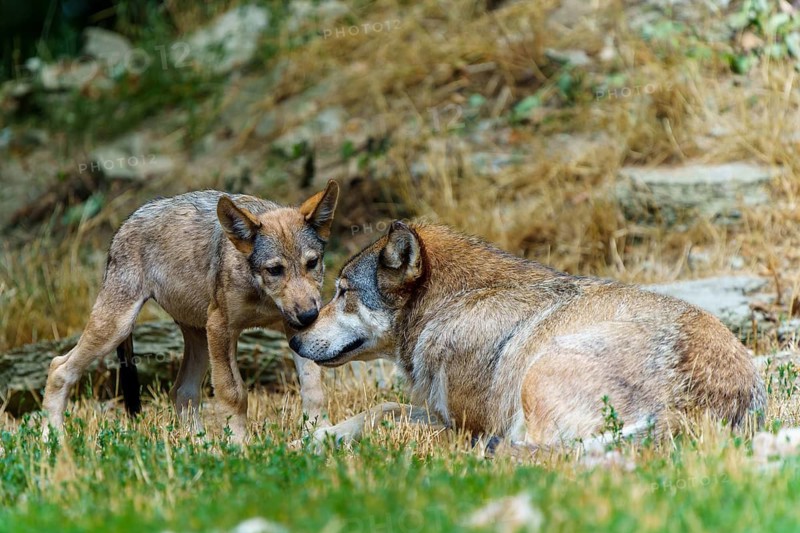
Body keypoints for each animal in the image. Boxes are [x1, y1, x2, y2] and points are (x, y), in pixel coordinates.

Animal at [43, 181, 340, 443]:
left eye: (312, 263)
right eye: (275, 270)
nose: (309, 316)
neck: (263, 296)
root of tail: (125, 224)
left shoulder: (292, 328)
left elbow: (313, 387)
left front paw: (321, 434)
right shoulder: (221, 328)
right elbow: (233, 394)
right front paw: (240, 447)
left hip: (197, 338)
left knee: (181, 391)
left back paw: (201, 447)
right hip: (118, 328)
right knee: (59, 367)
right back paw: (52, 440)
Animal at [290, 221, 766, 448]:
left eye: (342, 292)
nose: (294, 338)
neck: (455, 304)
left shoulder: (466, 425)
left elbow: (391, 416)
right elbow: (379, 408)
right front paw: (306, 440)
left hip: (537, 375)